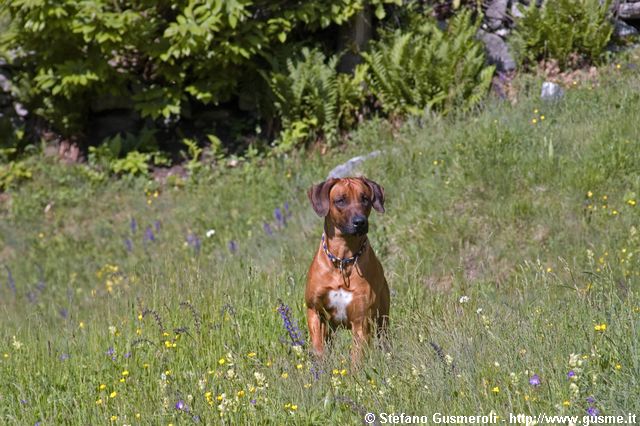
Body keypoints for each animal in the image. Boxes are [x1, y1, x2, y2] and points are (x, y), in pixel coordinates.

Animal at [306, 176, 390, 362]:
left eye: (365, 198)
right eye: (340, 200)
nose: (360, 222)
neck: (342, 260)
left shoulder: (361, 319)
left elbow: (357, 357)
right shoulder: (314, 311)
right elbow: (319, 348)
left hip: (382, 317)